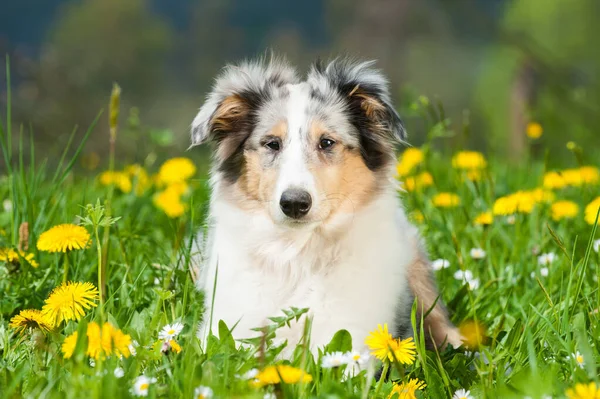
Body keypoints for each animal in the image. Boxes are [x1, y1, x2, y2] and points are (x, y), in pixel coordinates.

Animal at [190, 57, 462, 356]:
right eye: (272, 144)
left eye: (327, 142)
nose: (294, 203)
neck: (297, 251)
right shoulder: (228, 327)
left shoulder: (353, 336)